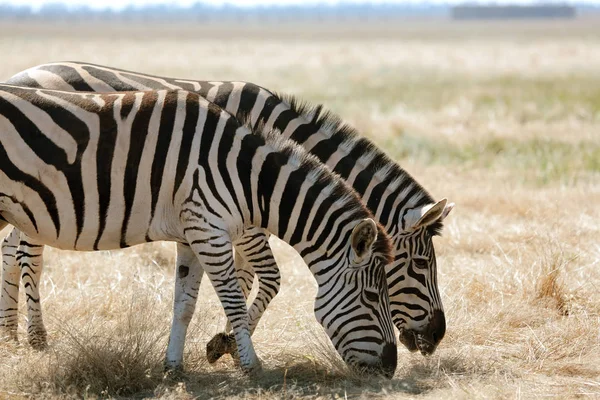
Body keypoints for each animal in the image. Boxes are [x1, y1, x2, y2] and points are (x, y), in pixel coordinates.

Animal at [5, 61, 454, 356]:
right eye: (420, 265)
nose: (437, 335)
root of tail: (19, 75)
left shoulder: (239, 215)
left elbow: (240, 276)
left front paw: (224, 340)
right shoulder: (242, 211)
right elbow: (265, 278)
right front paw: (229, 344)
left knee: (10, 249)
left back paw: (9, 333)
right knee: (29, 253)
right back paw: (37, 337)